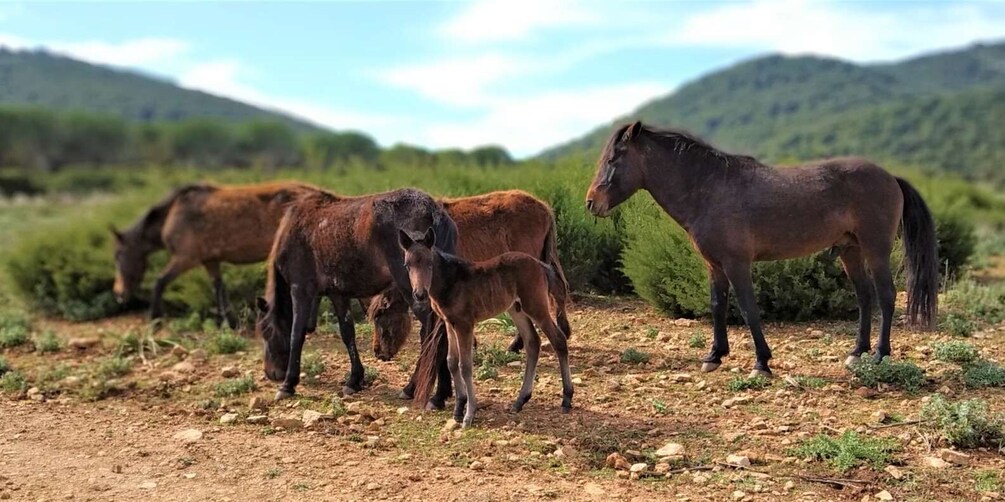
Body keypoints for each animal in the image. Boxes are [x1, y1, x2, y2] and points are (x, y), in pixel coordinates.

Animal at [109, 180, 315, 325]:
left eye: (118, 255)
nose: (118, 294)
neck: (173, 211)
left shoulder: (185, 258)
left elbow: (160, 281)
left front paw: (154, 318)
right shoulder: (210, 260)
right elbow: (219, 287)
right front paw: (228, 321)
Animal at [253, 186, 458, 401]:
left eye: (265, 332)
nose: (271, 373)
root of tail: (434, 210)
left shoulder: (300, 290)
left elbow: (296, 334)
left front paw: (288, 384)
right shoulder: (338, 294)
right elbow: (347, 334)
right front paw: (354, 380)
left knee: (430, 333)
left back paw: (412, 387)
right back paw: (441, 393)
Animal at [399, 227, 574, 427]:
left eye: (429, 263)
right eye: (407, 265)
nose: (419, 294)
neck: (451, 281)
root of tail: (540, 265)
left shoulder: (465, 324)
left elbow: (465, 366)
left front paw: (469, 414)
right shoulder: (450, 323)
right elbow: (452, 362)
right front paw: (458, 408)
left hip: (536, 307)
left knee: (558, 340)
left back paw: (567, 399)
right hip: (516, 309)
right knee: (532, 342)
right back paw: (520, 401)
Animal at [586, 123, 936, 377]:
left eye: (613, 160)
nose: (591, 203)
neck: (710, 188)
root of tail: (890, 176)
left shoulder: (737, 263)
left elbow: (748, 308)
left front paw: (761, 363)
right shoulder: (714, 265)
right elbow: (717, 306)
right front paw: (714, 356)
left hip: (875, 249)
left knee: (886, 297)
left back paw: (879, 355)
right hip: (851, 250)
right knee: (864, 298)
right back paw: (856, 353)